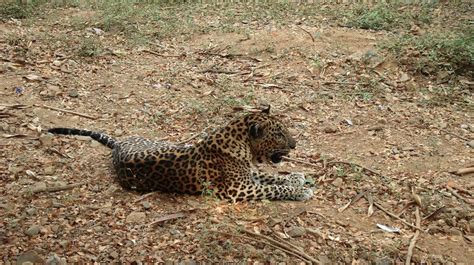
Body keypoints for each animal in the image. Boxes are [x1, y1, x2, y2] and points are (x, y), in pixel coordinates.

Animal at [47, 106, 314, 201]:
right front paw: (300, 191)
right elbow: (274, 188)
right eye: (279, 134)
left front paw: (298, 178)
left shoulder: (248, 176)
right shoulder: (238, 189)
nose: (295, 144)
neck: (244, 146)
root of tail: (119, 146)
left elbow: (272, 178)